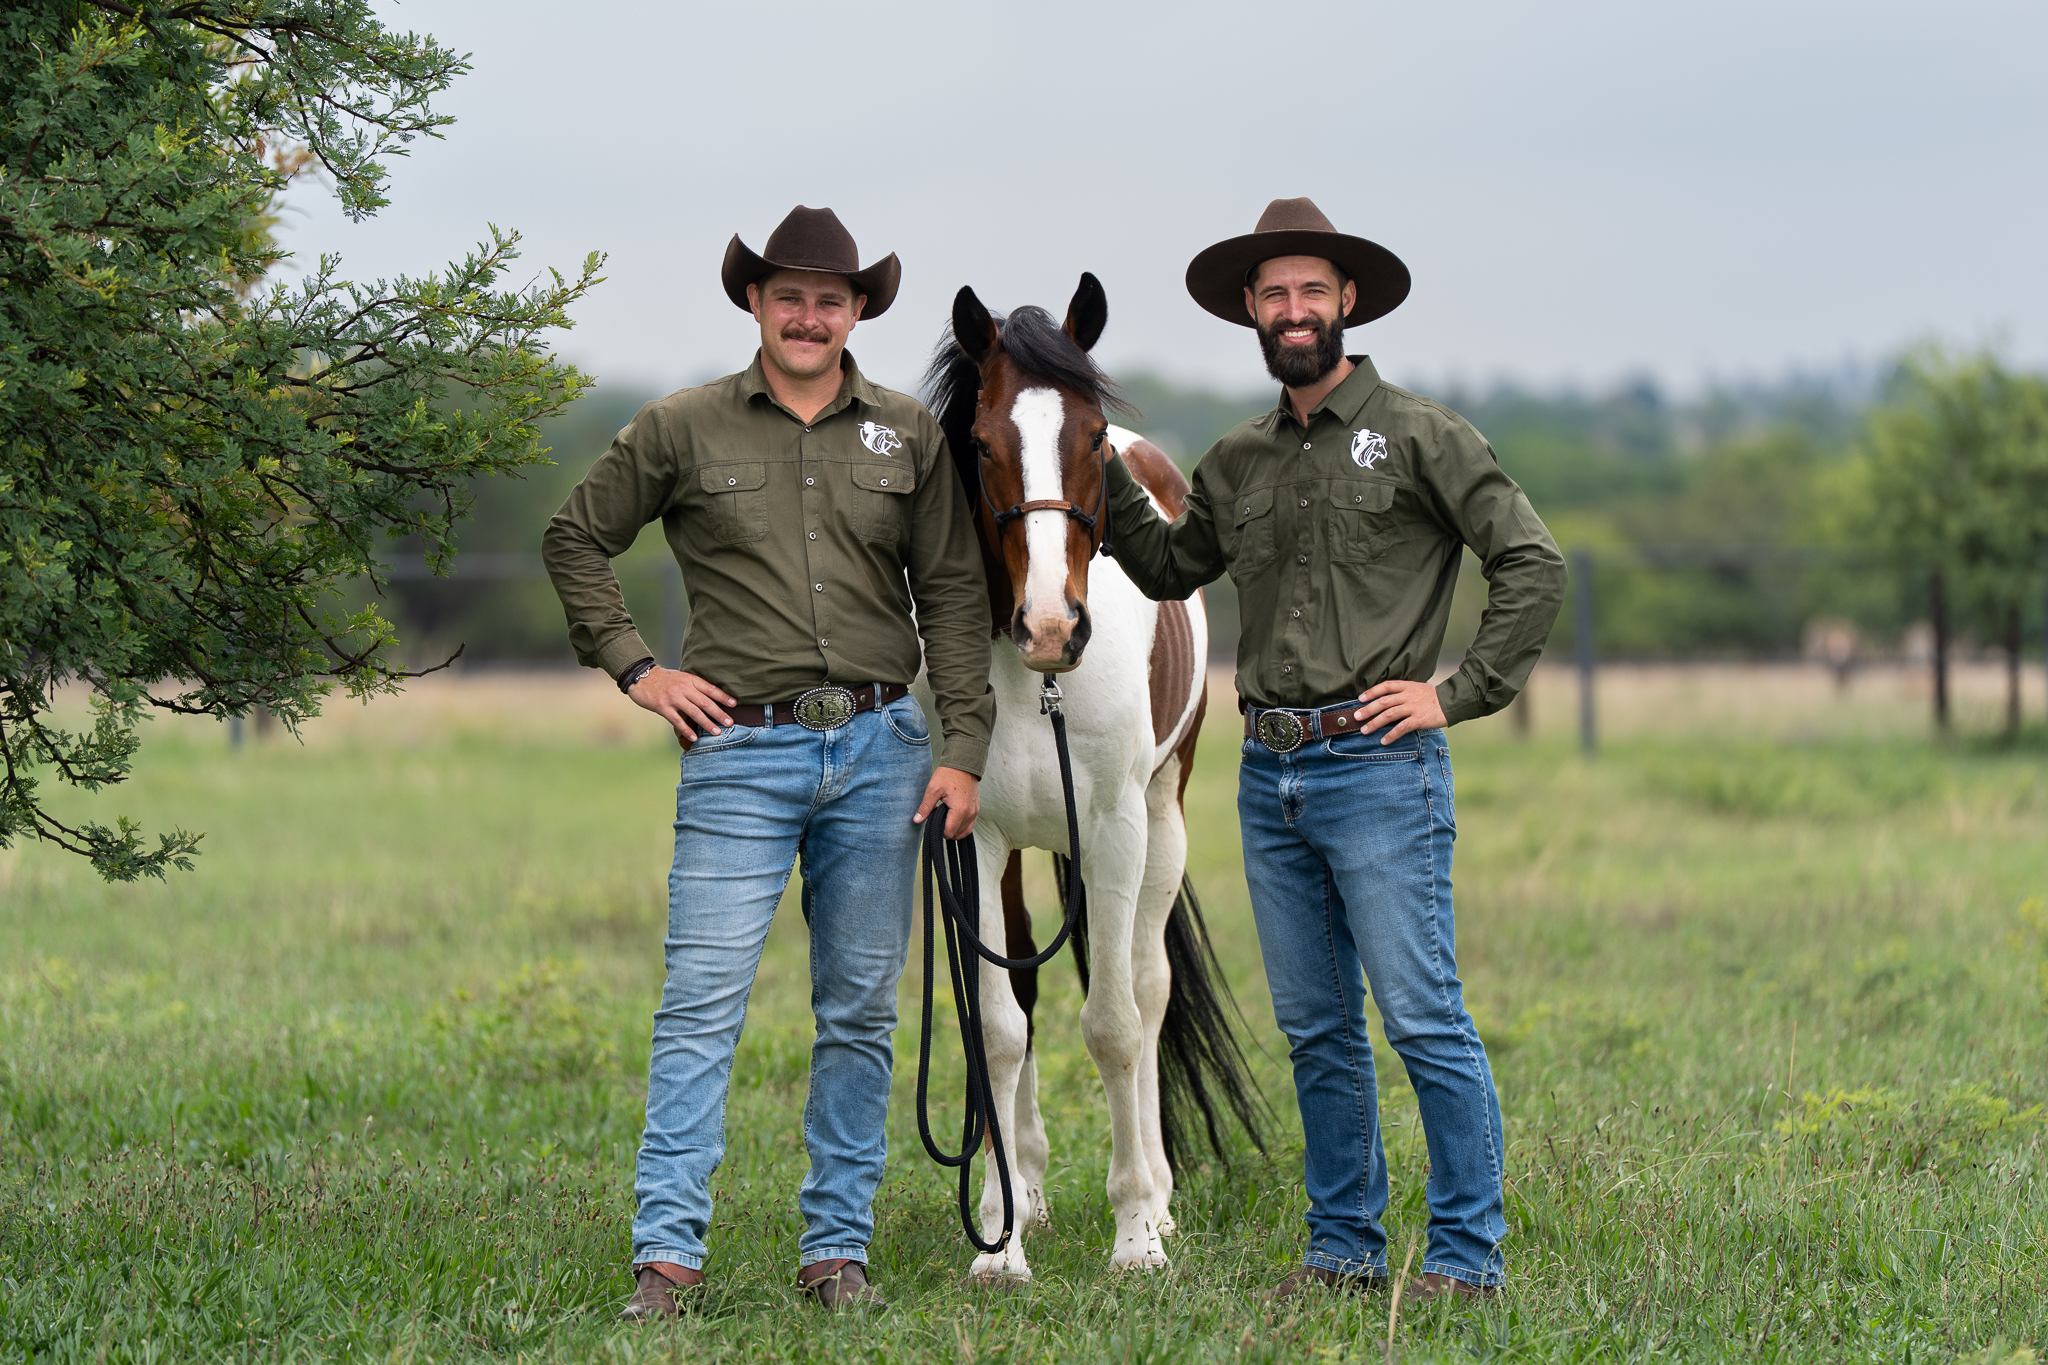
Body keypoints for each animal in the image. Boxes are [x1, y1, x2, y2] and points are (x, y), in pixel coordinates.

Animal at [919, 273, 1266, 1280]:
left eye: (1093, 437)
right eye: (982, 443)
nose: (1049, 626)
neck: (1033, 683)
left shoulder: (1113, 827)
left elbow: (1114, 1021)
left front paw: (1137, 1233)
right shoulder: (975, 837)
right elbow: (999, 1027)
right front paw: (999, 1242)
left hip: (1161, 820)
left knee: (1146, 991)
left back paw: (1161, 1197)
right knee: (1030, 992)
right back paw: (1027, 1194)